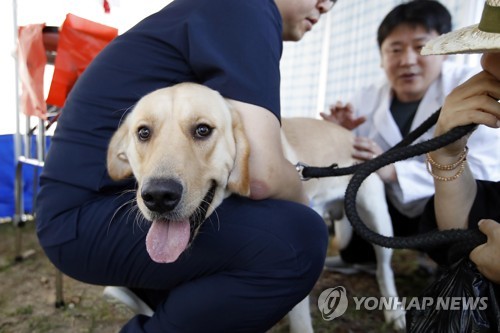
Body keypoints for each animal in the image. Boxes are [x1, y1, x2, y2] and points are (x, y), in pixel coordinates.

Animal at [106, 81, 406, 330]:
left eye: (202, 130)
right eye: (143, 133)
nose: (158, 196)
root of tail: (348, 133)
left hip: (376, 217)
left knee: (384, 268)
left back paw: (395, 312)